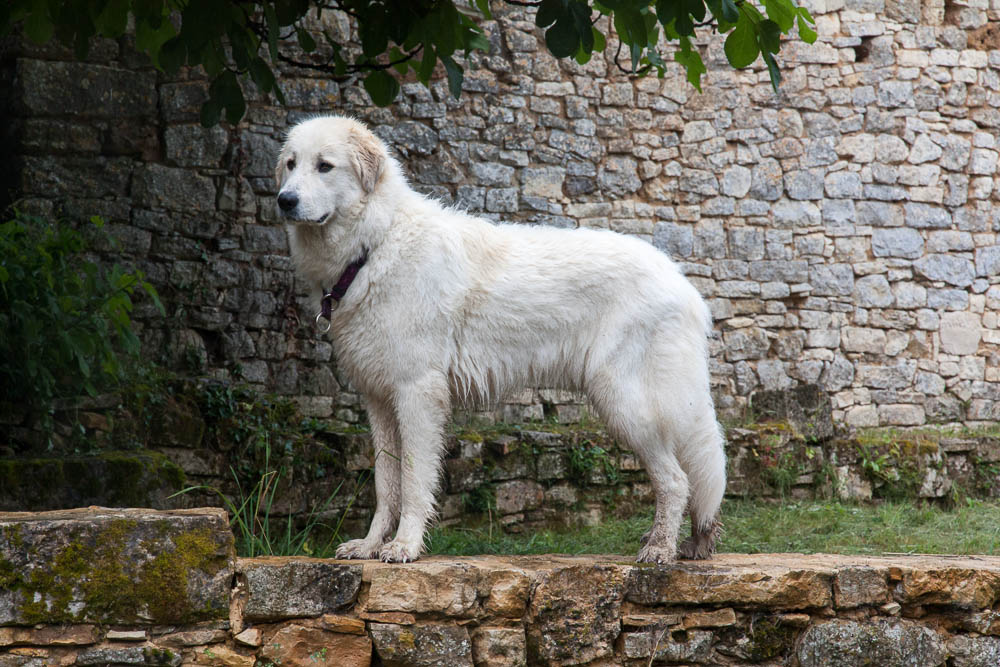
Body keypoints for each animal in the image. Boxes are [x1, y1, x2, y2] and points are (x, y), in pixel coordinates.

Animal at [276, 116, 728, 564]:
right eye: (291, 164)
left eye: (325, 166)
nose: (284, 201)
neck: (375, 243)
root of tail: (682, 282)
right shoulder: (380, 401)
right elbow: (386, 486)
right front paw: (370, 546)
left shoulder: (417, 394)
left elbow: (414, 481)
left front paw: (404, 547)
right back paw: (695, 542)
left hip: (627, 403)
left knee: (677, 480)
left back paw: (660, 549)